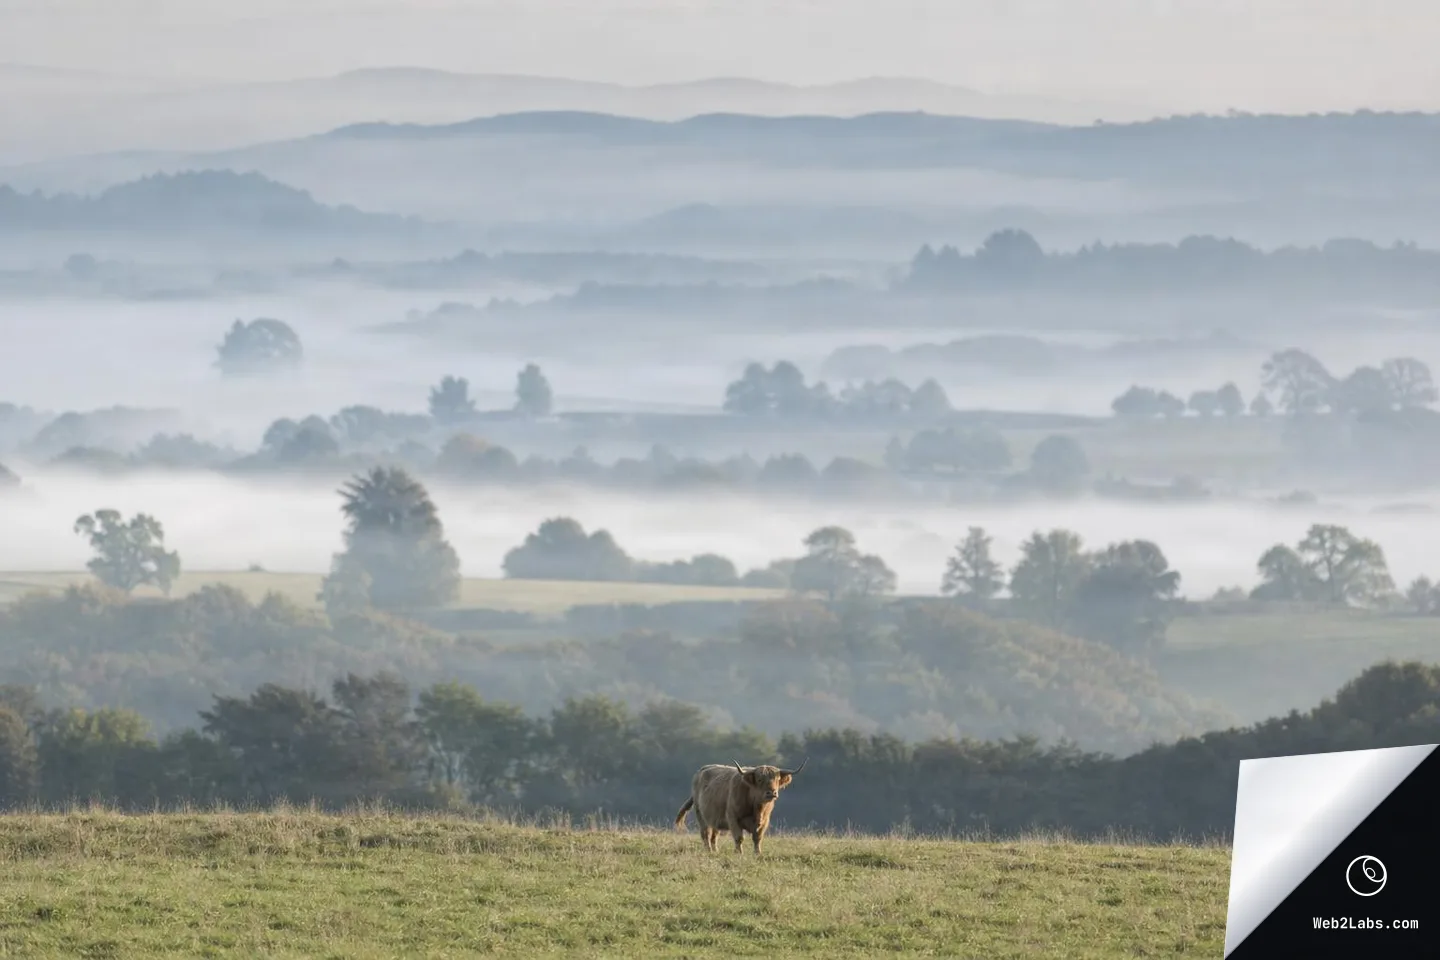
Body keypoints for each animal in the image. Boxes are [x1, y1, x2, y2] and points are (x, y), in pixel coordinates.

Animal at [673, 757, 807, 854]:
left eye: (777, 779)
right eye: (759, 780)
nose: (772, 793)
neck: (757, 808)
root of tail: (702, 770)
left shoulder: (765, 821)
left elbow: (758, 838)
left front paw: (758, 853)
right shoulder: (732, 818)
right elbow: (739, 838)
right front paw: (739, 853)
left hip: (715, 817)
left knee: (714, 836)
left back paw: (715, 851)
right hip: (700, 815)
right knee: (705, 833)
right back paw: (709, 851)